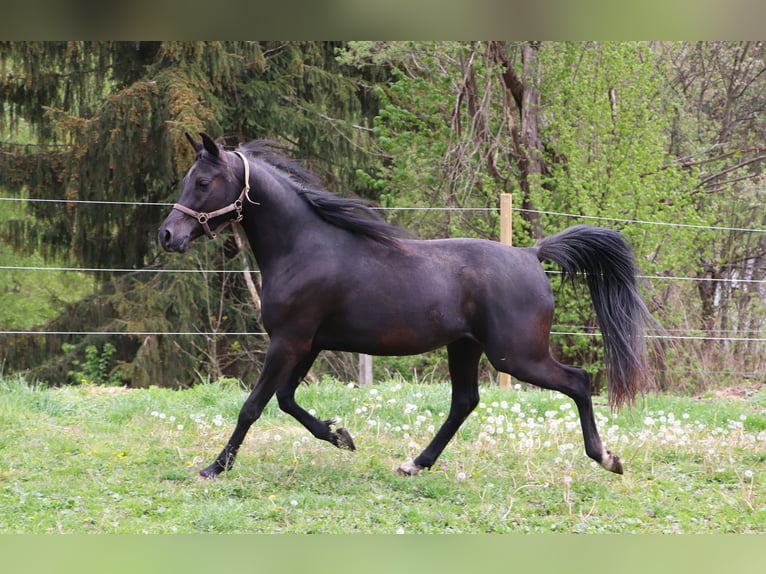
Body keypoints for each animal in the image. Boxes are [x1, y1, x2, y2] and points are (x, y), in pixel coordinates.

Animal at [159, 132, 656, 479]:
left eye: (203, 182)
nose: (168, 235)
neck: (303, 247)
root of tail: (532, 255)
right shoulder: (308, 345)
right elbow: (285, 400)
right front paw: (340, 436)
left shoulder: (288, 342)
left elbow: (253, 406)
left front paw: (214, 467)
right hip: (466, 347)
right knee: (464, 402)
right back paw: (415, 464)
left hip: (516, 356)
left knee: (578, 381)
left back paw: (607, 458)